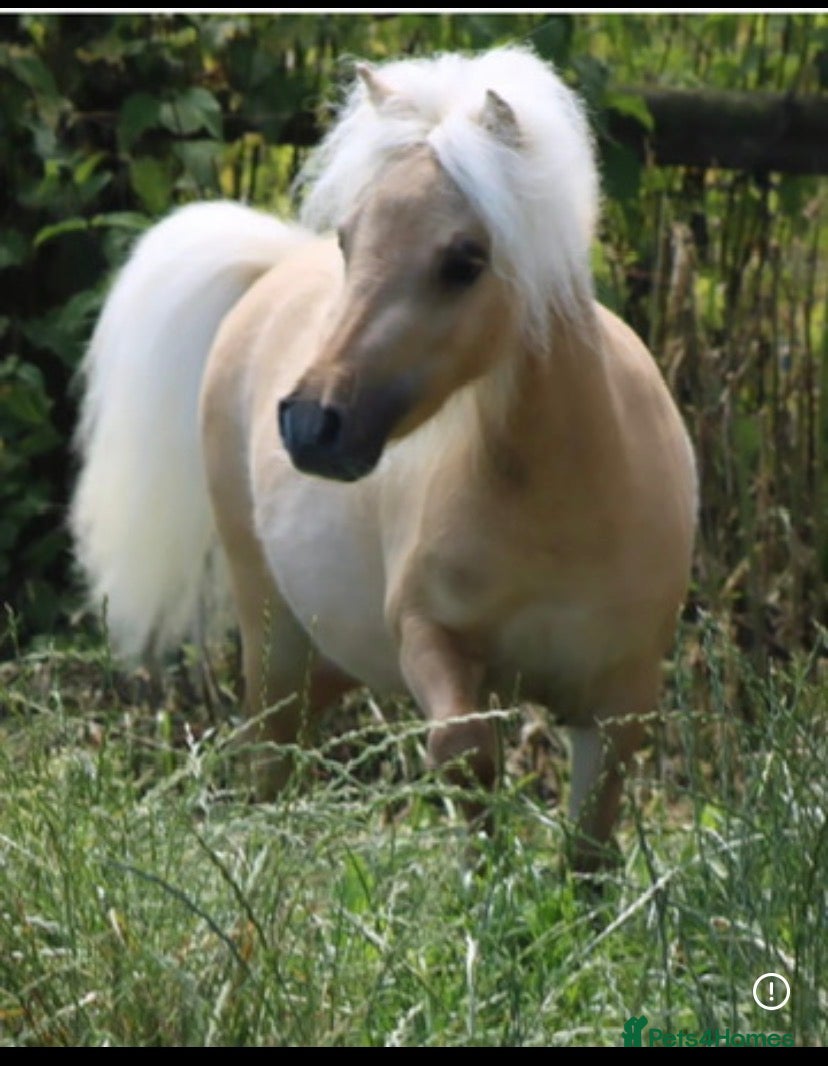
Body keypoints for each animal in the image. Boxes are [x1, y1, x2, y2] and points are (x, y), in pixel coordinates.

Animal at [70, 46, 697, 871]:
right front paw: (489, 883)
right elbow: (465, 754)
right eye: (350, 240)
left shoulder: (618, 705)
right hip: (275, 646)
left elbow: (588, 853)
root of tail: (272, 273)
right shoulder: (428, 637)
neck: (564, 503)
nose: (311, 424)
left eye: (464, 260)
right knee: (269, 765)